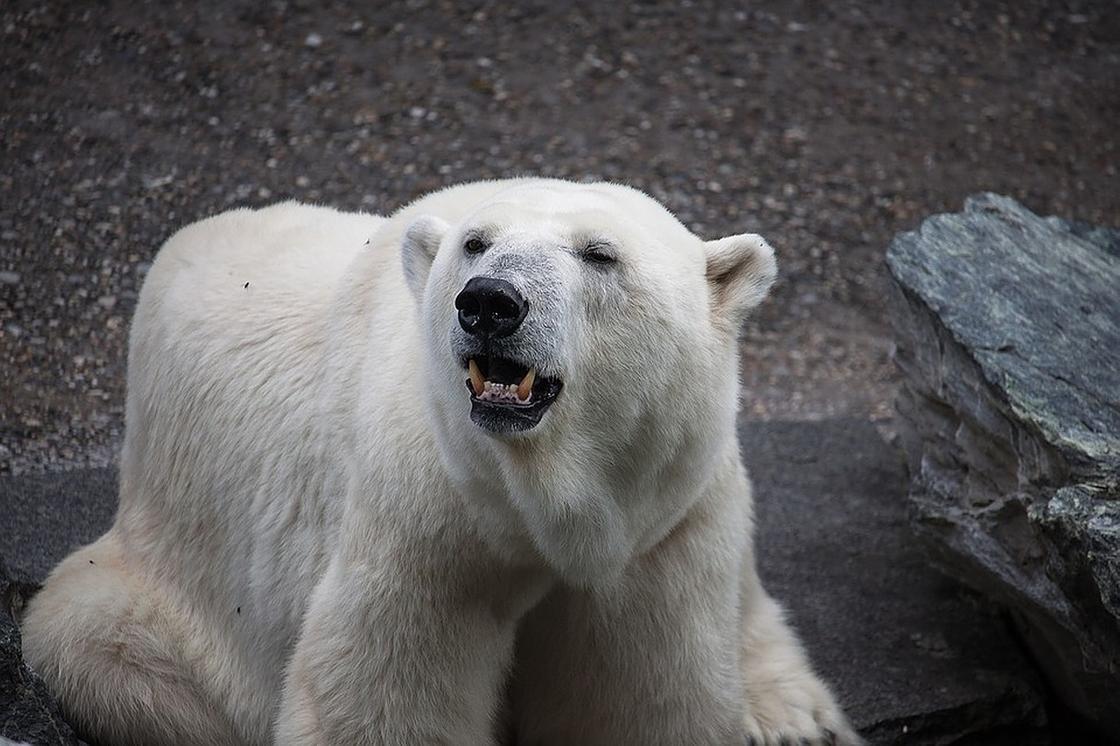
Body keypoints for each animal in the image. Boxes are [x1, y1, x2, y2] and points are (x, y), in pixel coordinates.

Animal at [21, 180, 860, 743]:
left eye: (600, 254)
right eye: (475, 244)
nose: (490, 302)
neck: (542, 505)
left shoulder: (660, 528)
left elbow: (642, 694)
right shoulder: (426, 521)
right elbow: (385, 695)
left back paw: (794, 715)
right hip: (163, 574)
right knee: (113, 654)